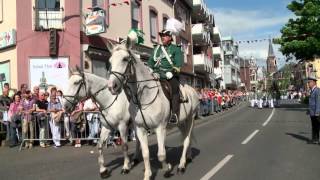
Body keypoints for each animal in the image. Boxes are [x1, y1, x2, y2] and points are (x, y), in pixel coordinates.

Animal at [106, 39, 199, 180]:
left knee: (187, 139)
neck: (144, 96)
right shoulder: (140, 129)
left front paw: (167, 168)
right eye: (110, 61)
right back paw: (187, 158)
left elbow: (161, 154)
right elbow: (145, 153)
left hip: (190, 119)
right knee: (184, 138)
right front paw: (148, 175)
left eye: (125, 59)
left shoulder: (160, 128)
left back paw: (182, 165)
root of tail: (193, 90)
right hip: (181, 122)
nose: (112, 86)